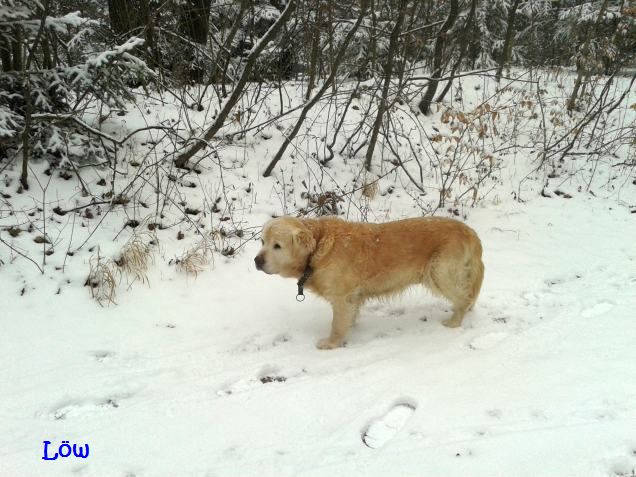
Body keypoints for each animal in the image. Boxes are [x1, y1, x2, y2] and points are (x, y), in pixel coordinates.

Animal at [253, 218, 482, 348]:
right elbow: (349, 318)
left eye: (277, 246)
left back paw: (454, 322)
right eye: (262, 242)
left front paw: (331, 343)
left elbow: (337, 324)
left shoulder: (342, 297)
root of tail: (470, 231)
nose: (257, 261)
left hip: (438, 272)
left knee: (464, 297)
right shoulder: (352, 297)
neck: (317, 248)